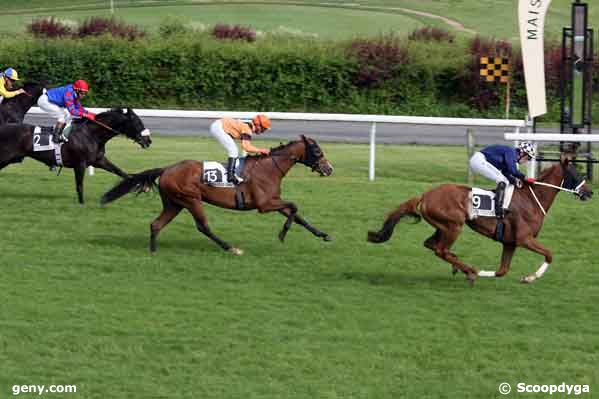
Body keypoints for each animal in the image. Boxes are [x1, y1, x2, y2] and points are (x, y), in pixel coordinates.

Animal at [0, 108, 152, 205]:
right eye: (137, 123)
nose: (149, 141)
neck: (91, 134)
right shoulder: (80, 164)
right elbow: (79, 185)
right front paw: (82, 203)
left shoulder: (99, 160)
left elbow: (121, 172)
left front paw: (143, 186)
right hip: (5, 158)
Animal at [103, 134, 338, 253]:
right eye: (317, 151)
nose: (329, 169)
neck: (269, 168)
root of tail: (167, 169)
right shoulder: (264, 204)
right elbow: (294, 207)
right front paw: (282, 234)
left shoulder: (273, 200)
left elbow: (297, 215)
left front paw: (323, 234)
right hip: (190, 199)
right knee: (203, 226)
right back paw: (229, 247)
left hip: (174, 203)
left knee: (156, 224)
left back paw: (153, 251)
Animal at [368, 155, 592, 284]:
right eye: (576, 173)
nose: (589, 192)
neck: (532, 199)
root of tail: (425, 195)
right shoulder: (524, 239)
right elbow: (549, 254)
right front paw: (530, 277)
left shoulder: (510, 242)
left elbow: (502, 271)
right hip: (454, 225)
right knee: (440, 249)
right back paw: (469, 270)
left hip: (442, 226)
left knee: (432, 245)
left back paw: (461, 267)